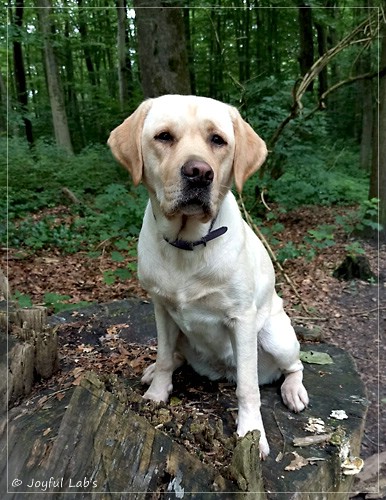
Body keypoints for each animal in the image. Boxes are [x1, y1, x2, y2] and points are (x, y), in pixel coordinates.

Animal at [108, 94, 308, 458]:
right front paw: (156, 394)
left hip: (276, 335)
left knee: (293, 366)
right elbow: (163, 357)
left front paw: (251, 433)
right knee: (174, 356)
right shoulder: (161, 307)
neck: (187, 243)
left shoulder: (242, 319)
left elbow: (248, 388)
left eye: (218, 140)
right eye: (163, 136)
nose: (199, 173)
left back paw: (293, 390)